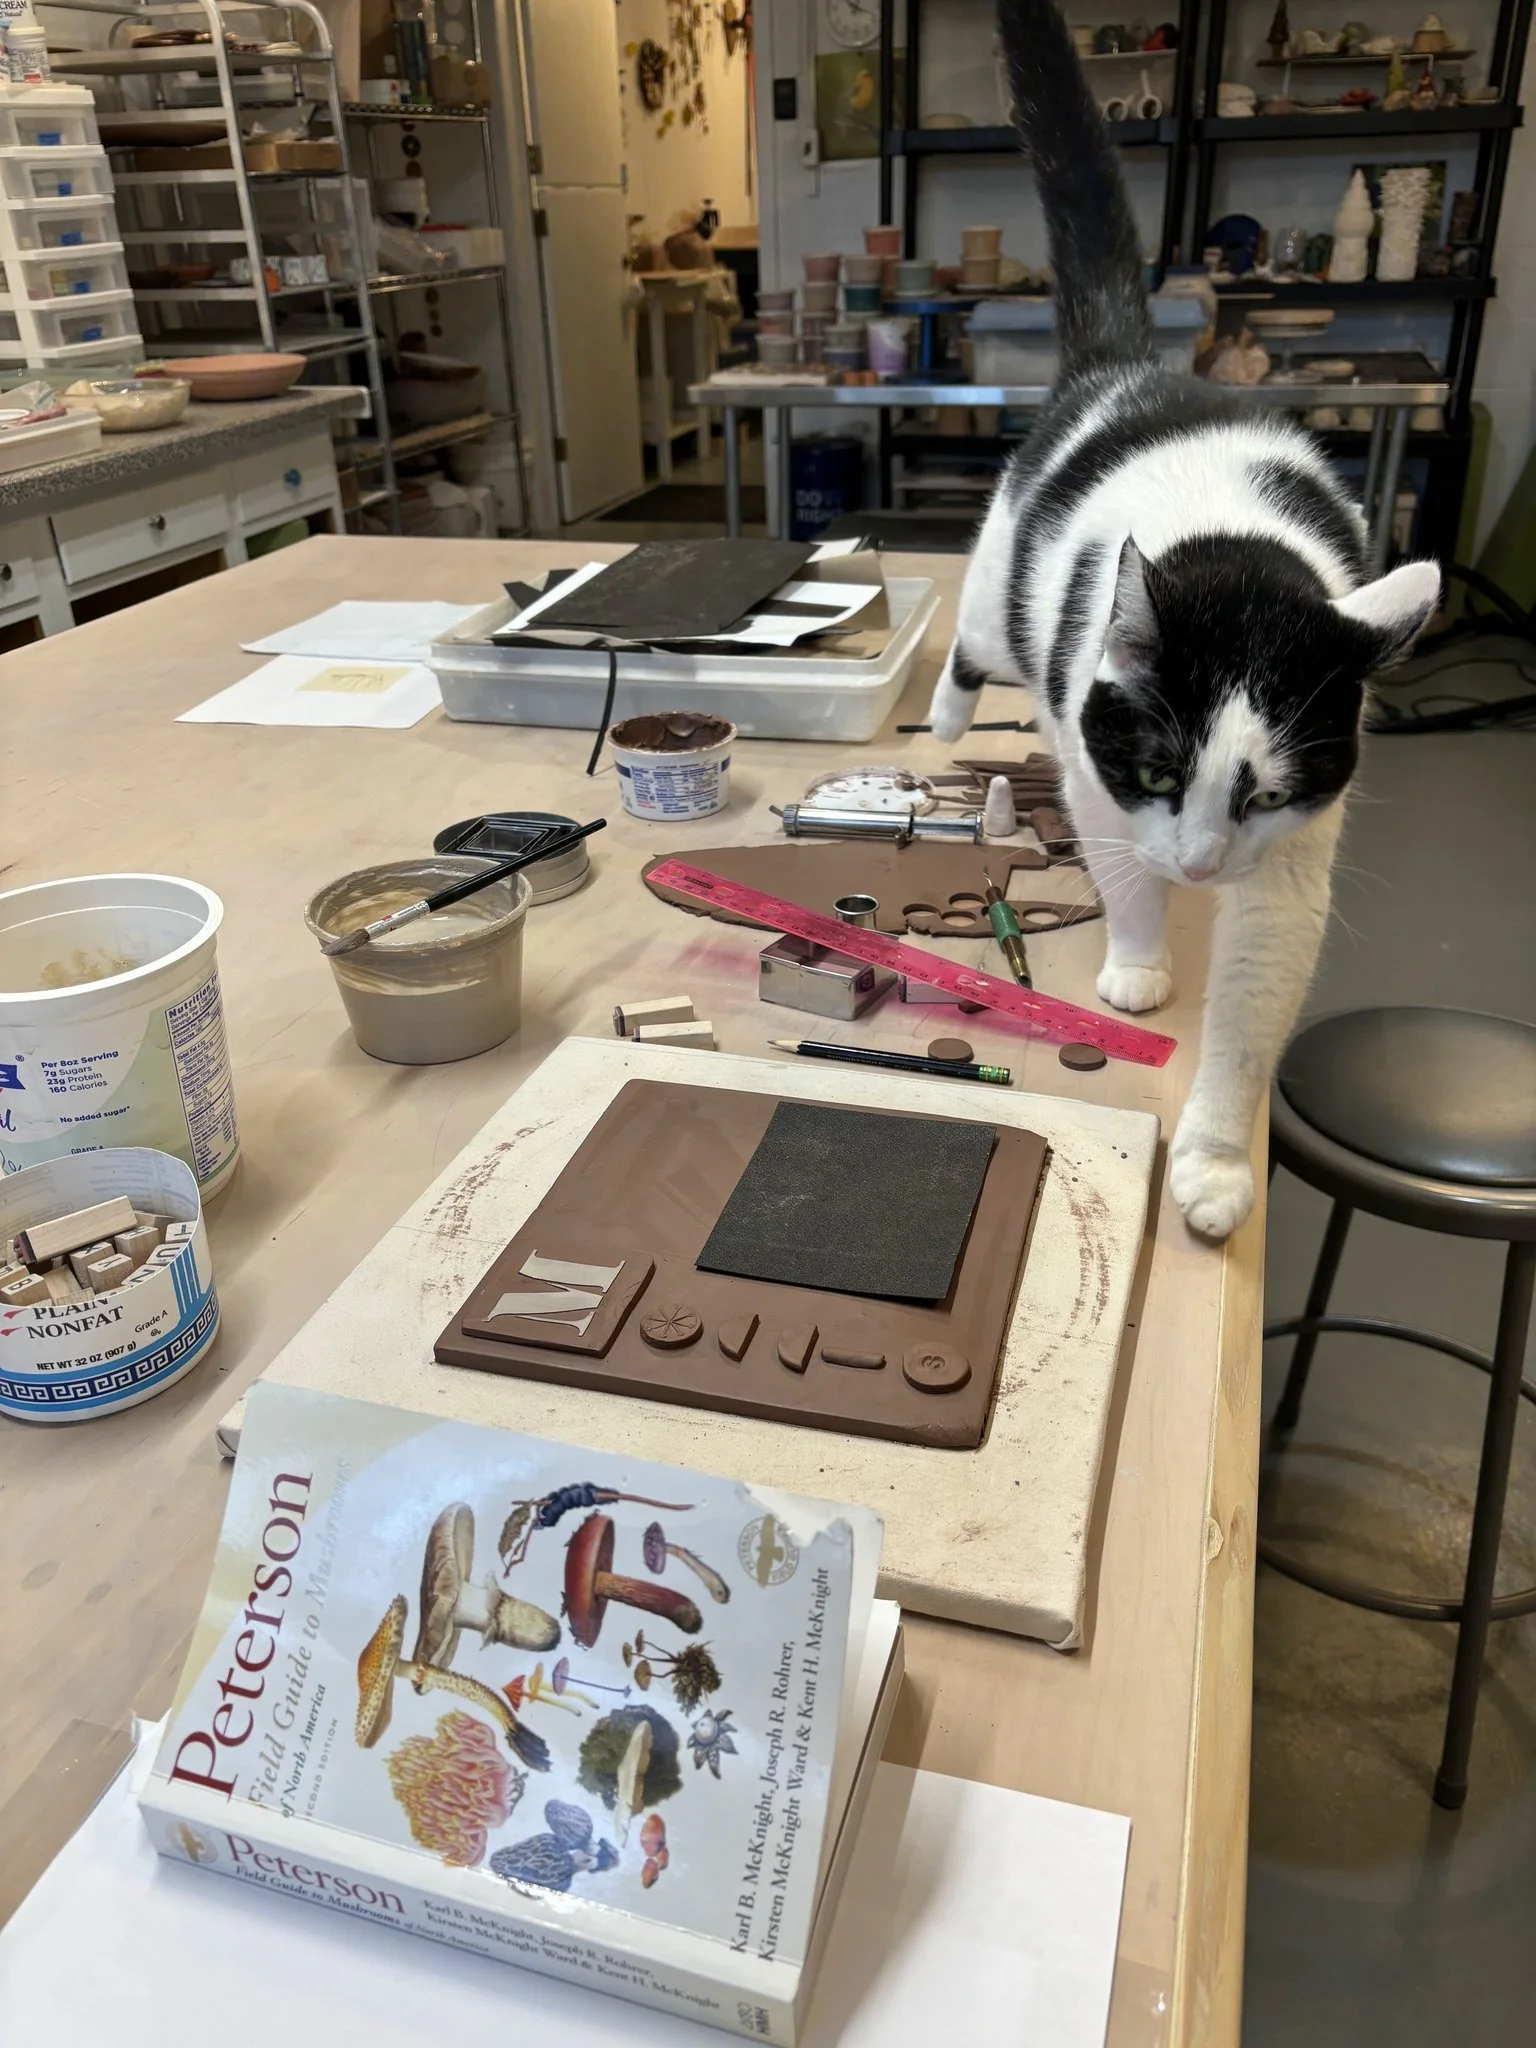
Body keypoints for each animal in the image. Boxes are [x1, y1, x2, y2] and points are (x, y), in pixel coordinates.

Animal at [928, 0, 1441, 1240]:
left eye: (1260, 797)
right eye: (1159, 771)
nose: (1203, 865)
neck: (1237, 548)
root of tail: (1131, 366)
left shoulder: (1297, 860)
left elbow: (1253, 1006)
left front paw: (1210, 1165)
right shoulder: (1089, 776)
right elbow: (1119, 877)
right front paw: (1137, 962)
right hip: (996, 595)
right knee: (967, 644)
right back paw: (941, 718)